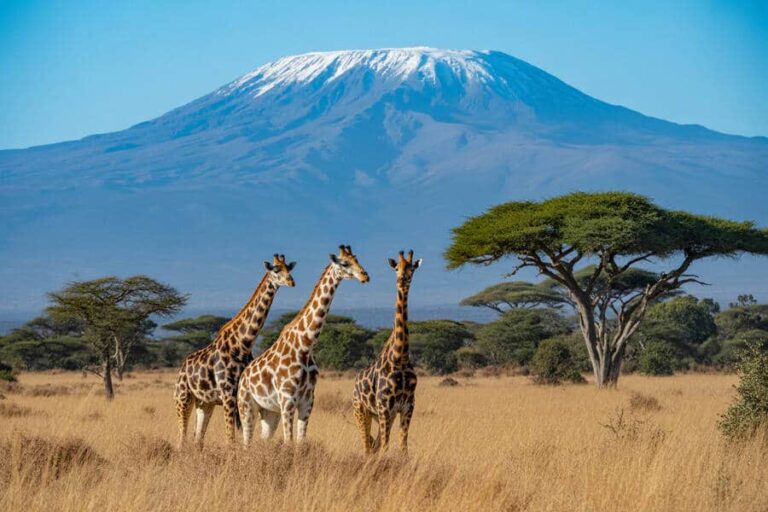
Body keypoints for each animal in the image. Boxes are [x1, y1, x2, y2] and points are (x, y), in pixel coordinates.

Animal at [174, 254, 296, 448]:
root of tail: (181, 369)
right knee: (181, 437)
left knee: (197, 437)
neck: (243, 343)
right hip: (183, 398)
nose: (291, 282)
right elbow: (230, 437)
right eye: (276, 269)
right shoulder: (228, 393)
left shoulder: (242, 393)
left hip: (205, 402)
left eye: (289, 268)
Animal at [238, 245, 369, 447]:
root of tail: (243, 377)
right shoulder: (287, 399)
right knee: (246, 442)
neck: (305, 344)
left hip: (269, 411)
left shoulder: (307, 401)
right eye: (345, 263)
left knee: (263, 437)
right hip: (246, 406)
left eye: (357, 259)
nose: (365, 276)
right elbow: (289, 442)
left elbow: (300, 443)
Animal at [353, 250, 421, 455]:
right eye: (396, 268)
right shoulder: (384, 406)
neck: (400, 356)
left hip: (382, 415)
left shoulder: (407, 406)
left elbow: (403, 448)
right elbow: (385, 447)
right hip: (361, 411)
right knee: (367, 447)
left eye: (411, 268)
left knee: (374, 445)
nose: (401, 280)